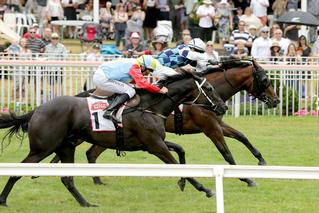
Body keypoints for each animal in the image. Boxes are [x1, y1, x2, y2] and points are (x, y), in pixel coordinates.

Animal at [0, 71, 229, 206]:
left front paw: (182, 183)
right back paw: (3, 200)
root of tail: (37, 109)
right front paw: (205, 189)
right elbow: (177, 164)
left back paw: (86, 204)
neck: (150, 107)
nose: (223, 107)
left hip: (66, 147)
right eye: (209, 88)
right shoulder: (155, 145)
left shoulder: (151, 144)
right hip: (42, 148)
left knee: (67, 178)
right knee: (17, 172)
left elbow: (180, 150)